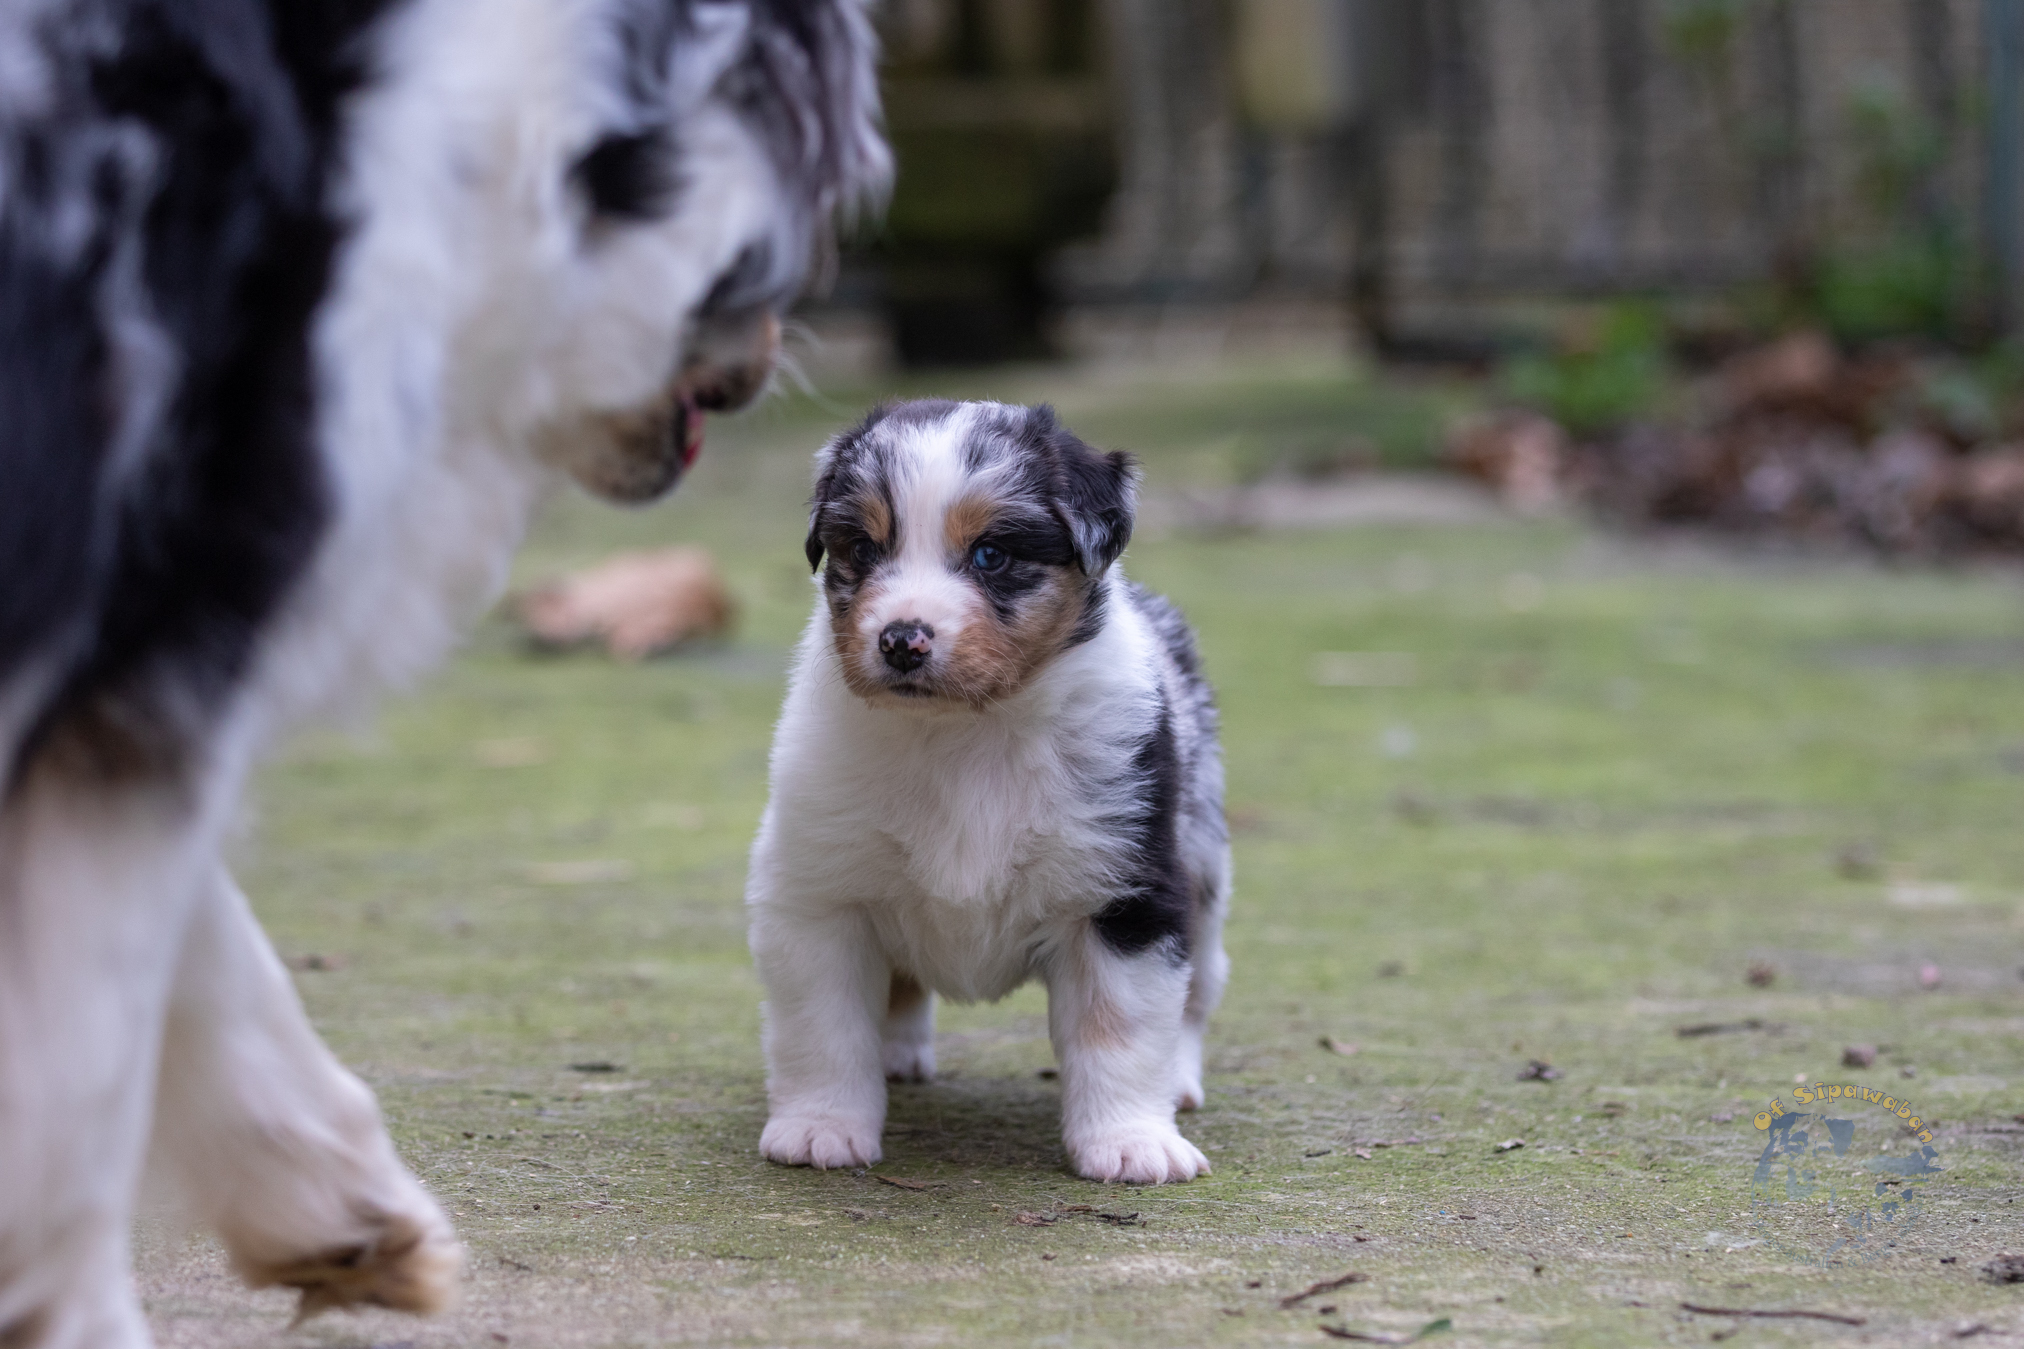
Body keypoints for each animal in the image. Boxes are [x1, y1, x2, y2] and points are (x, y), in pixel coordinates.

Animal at [0, 2, 885, 1344]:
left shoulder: (126, 663)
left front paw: (339, 1210)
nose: (765, 364)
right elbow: (86, 1094)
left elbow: (189, 963)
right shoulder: (161, 651)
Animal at [746, 400, 1232, 1185]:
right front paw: (822, 1127)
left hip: (1205, 874)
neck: (963, 734)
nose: (902, 640)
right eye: (865, 548)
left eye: (992, 556)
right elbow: (824, 1026)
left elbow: (1120, 1029)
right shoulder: (818, 894)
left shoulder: (1126, 893)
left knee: (1195, 994)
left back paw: (1180, 1085)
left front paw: (1130, 1141)